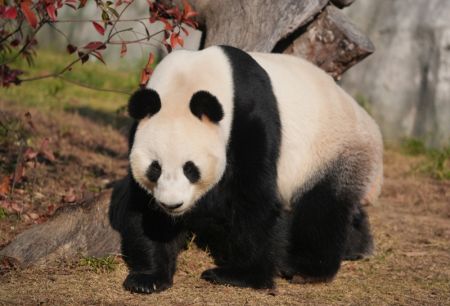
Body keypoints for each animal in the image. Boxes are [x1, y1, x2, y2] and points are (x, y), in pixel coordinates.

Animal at [110, 44, 384, 292]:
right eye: (155, 168)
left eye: (191, 169)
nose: (172, 204)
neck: (188, 81)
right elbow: (146, 209)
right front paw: (149, 278)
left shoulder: (248, 117)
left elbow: (253, 196)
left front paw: (241, 276)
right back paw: (358, 247)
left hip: (333, 150)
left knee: (322, 208)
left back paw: (306, 269)